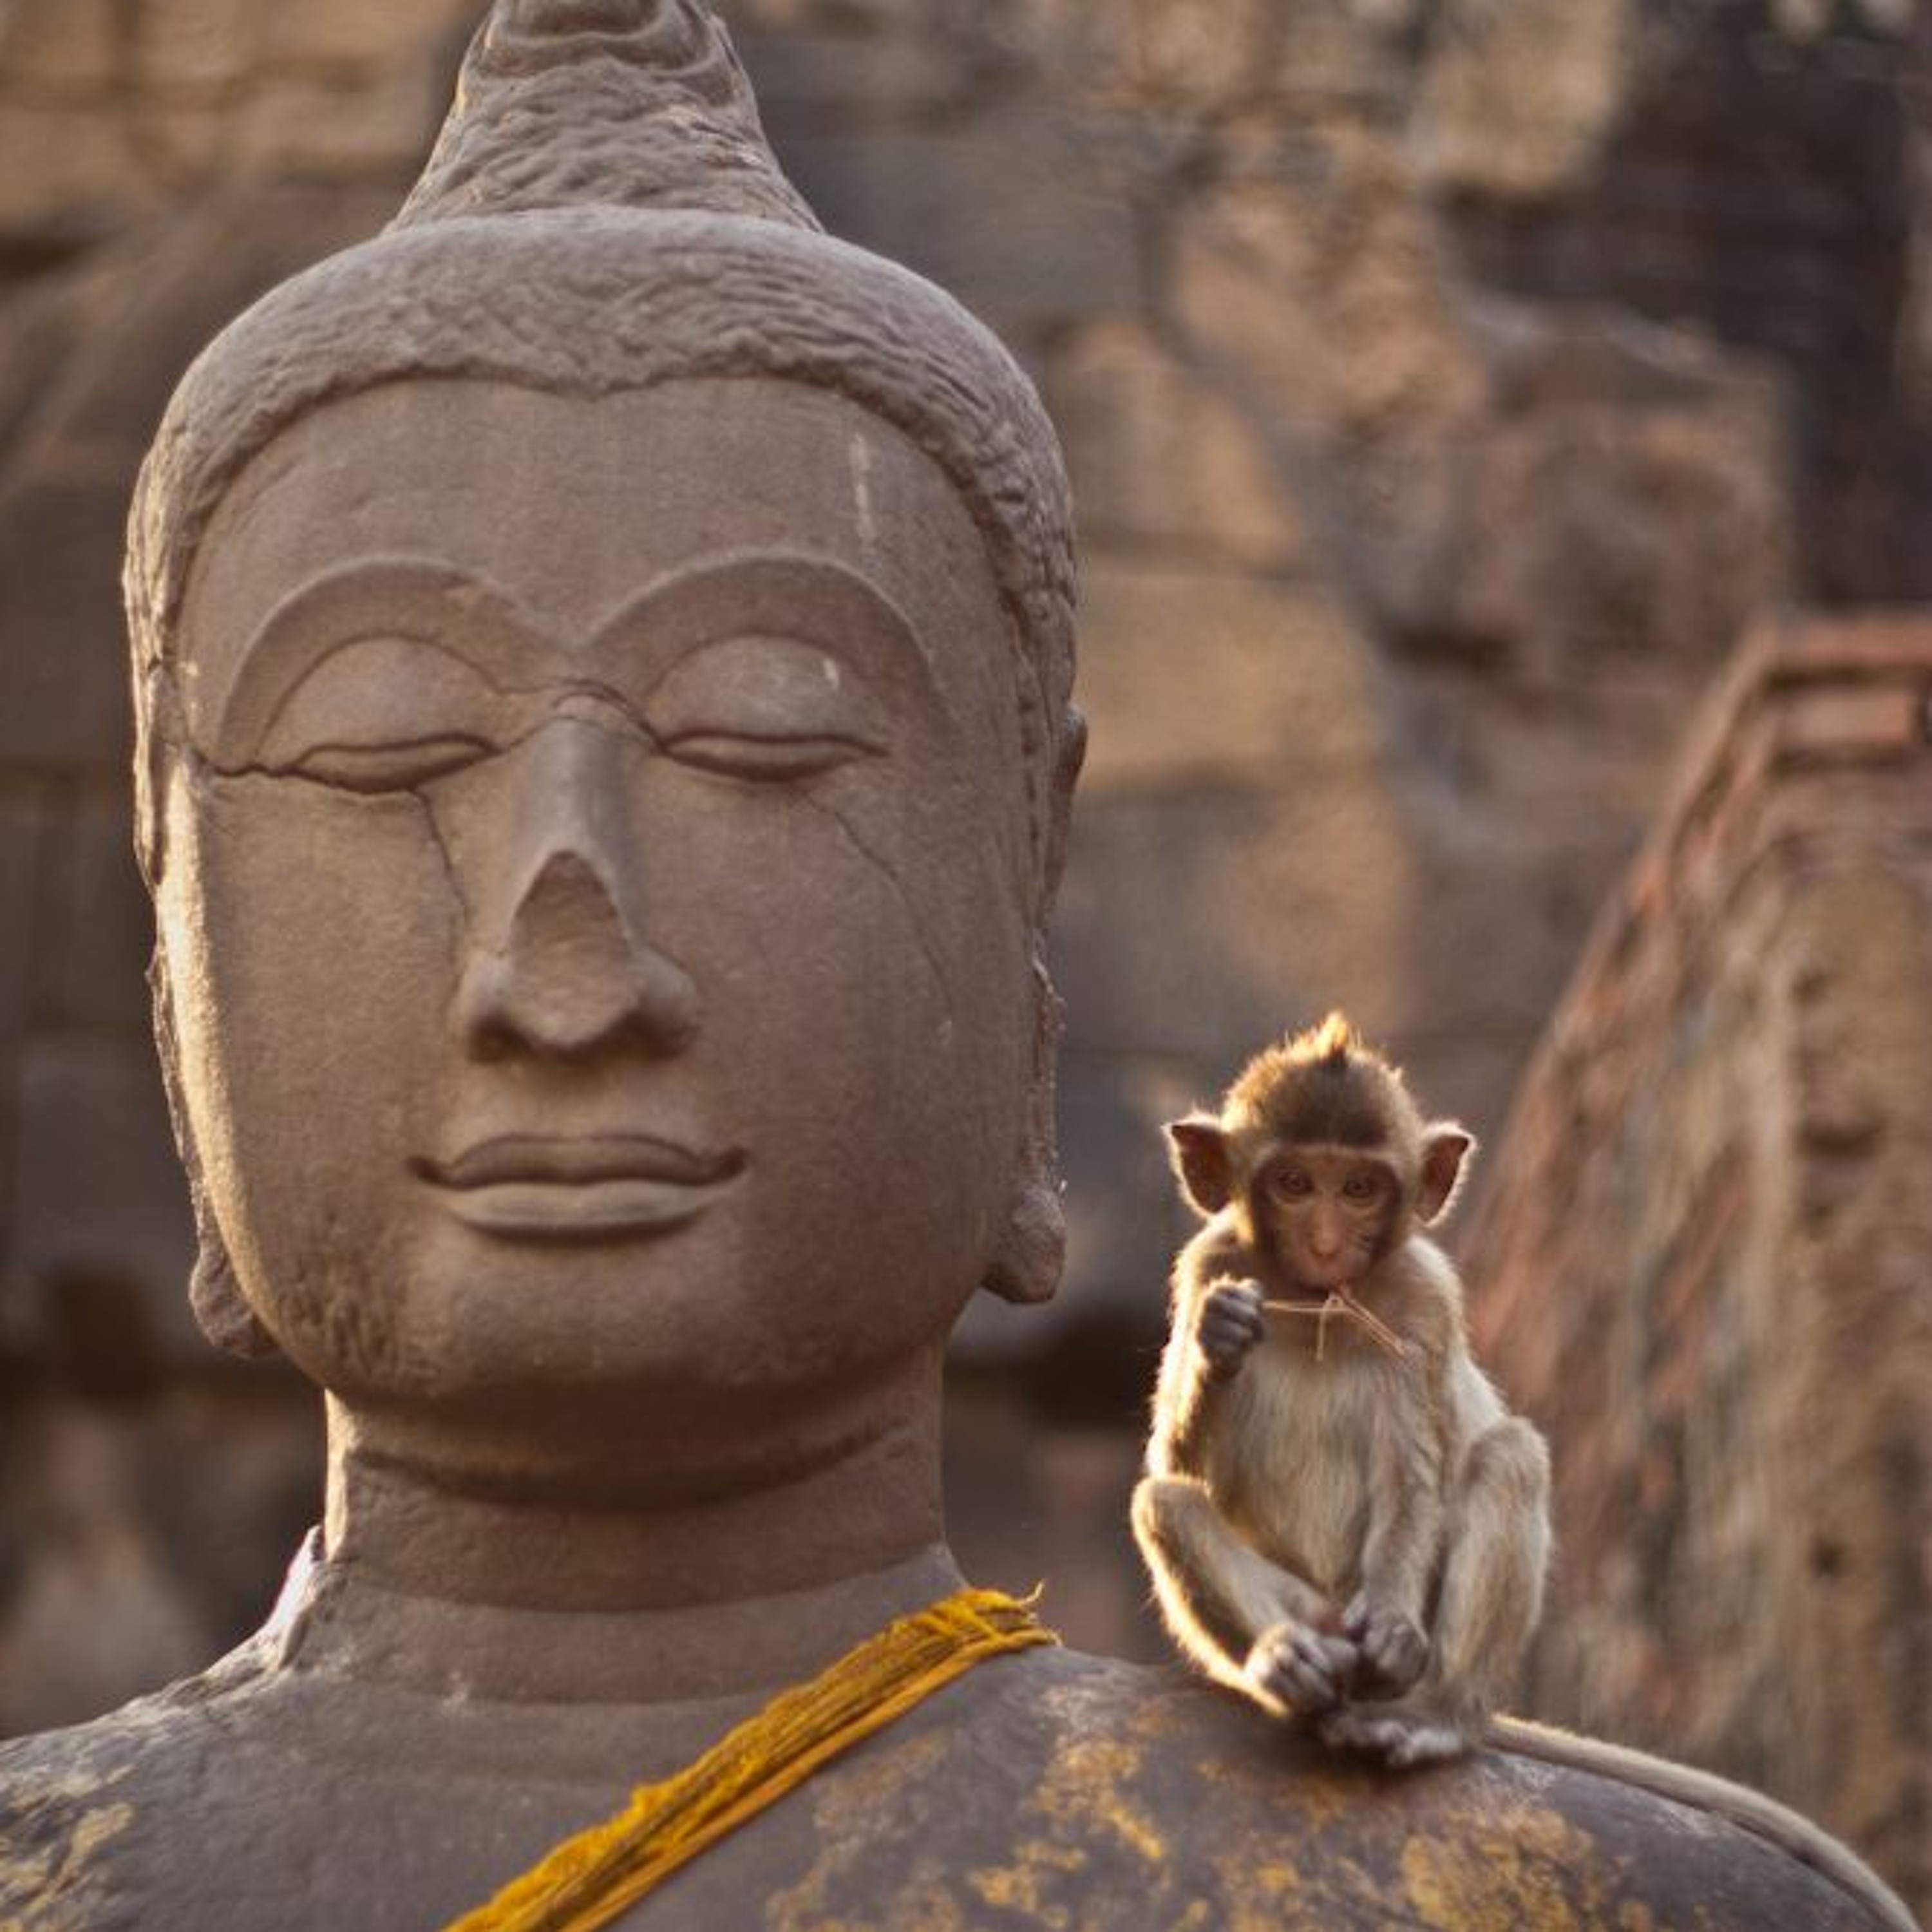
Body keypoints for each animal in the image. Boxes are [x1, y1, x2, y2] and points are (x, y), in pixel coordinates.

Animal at [1131, 1013, 1551, 1767]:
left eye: (1359, 1189)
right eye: (1295, 1183)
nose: (1326, 1245)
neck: (1315, 1304)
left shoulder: (1424, 1301)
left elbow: (1413, 1475)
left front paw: (1390, 1620)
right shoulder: (1208, 1264)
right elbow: (1179, 1469)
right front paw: (1220, 1339)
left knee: (1513, 1456)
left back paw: (1432, 1715)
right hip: (1319, 1616)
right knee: (1165, 1504)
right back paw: (1287, 1665)